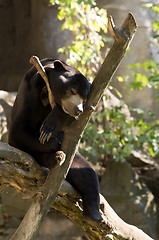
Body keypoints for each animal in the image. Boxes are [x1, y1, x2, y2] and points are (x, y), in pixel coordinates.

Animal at [9, 58, 105, 227]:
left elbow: (68, 119)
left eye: (84, 98)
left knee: (86, 172)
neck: (46, 91)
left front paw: (51, 125)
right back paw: (55, 158)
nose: (79, 109)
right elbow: (19, 130)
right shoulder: (30, 91)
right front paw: (51, 140)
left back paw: (95, 218)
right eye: (72, 91)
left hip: (75, 160)